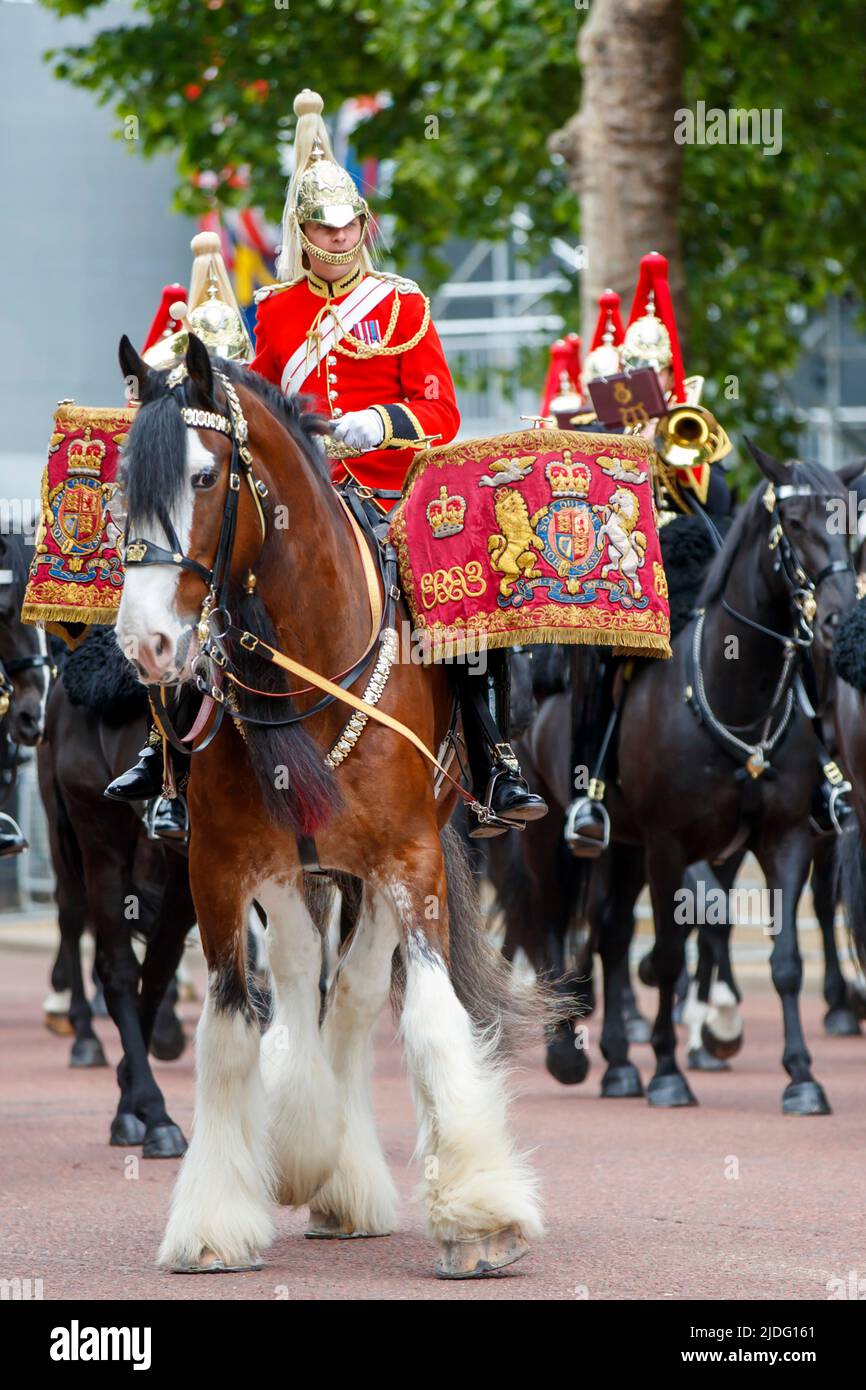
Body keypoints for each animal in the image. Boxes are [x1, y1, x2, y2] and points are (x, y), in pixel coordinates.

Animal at [111, 336, 544, 1278]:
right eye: (122, 483)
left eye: (206, 476)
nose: (147, 644)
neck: (305, 665)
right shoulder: (222, 870)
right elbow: (231, 1030)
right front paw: (215, 1221)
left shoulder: (410, 859)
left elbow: (425, 1022)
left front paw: (480, 1219)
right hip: (295, 873)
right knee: (306, 977)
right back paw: (317, 1152)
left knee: (349, 997)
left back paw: (343, 1175)